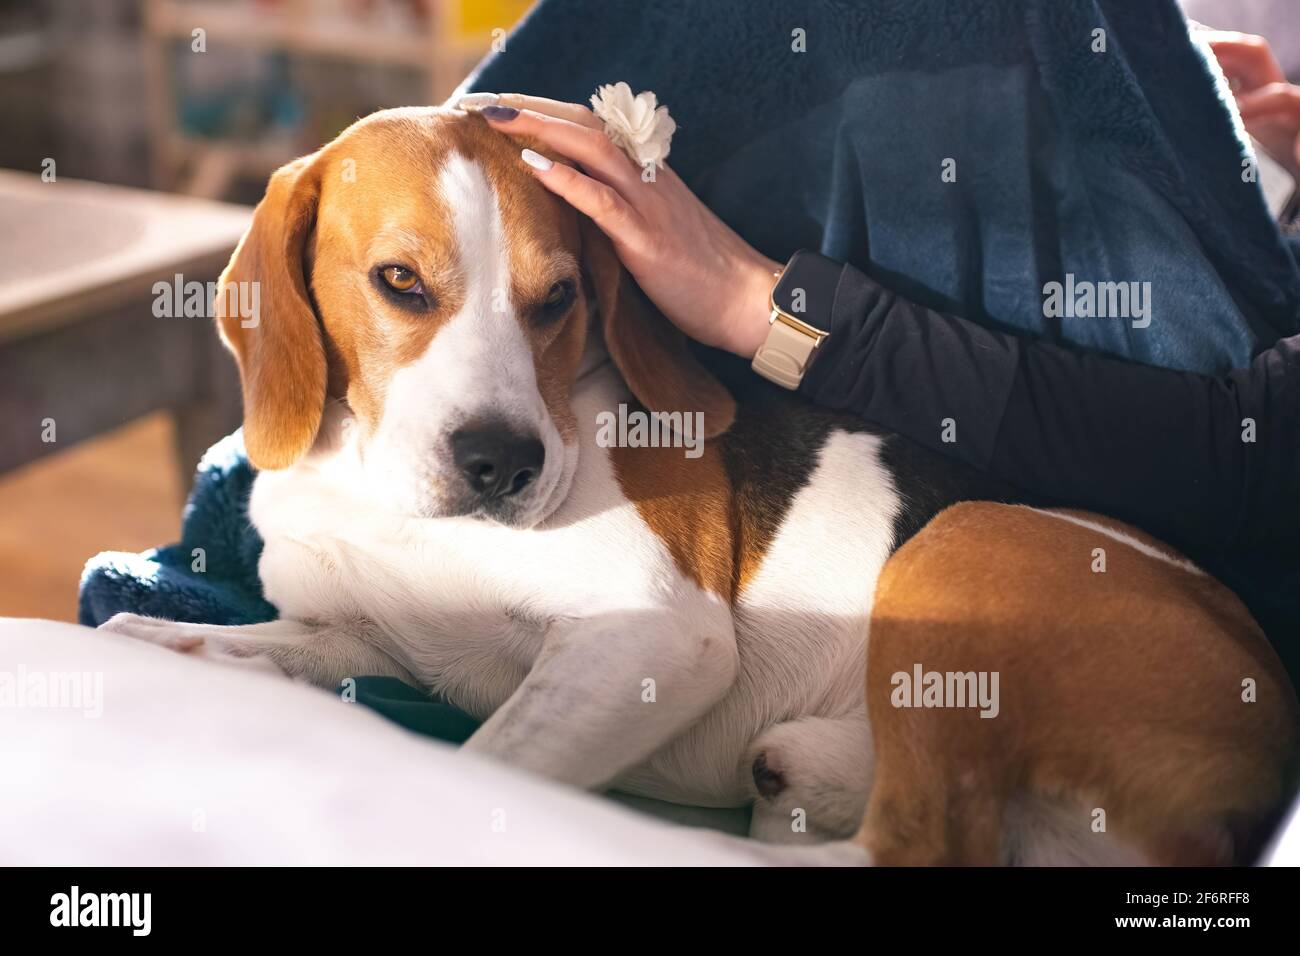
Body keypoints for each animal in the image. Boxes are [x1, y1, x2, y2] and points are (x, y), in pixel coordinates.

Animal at [104, 108, 1300, 863]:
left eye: (560, 298)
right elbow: (247, 651)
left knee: (921, 848)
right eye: (400, 282)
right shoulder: (362, 638)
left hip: (961, 547)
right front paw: (161, 641)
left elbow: (489, 764)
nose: (504, 464)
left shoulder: (651, 641)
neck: (377, 488)